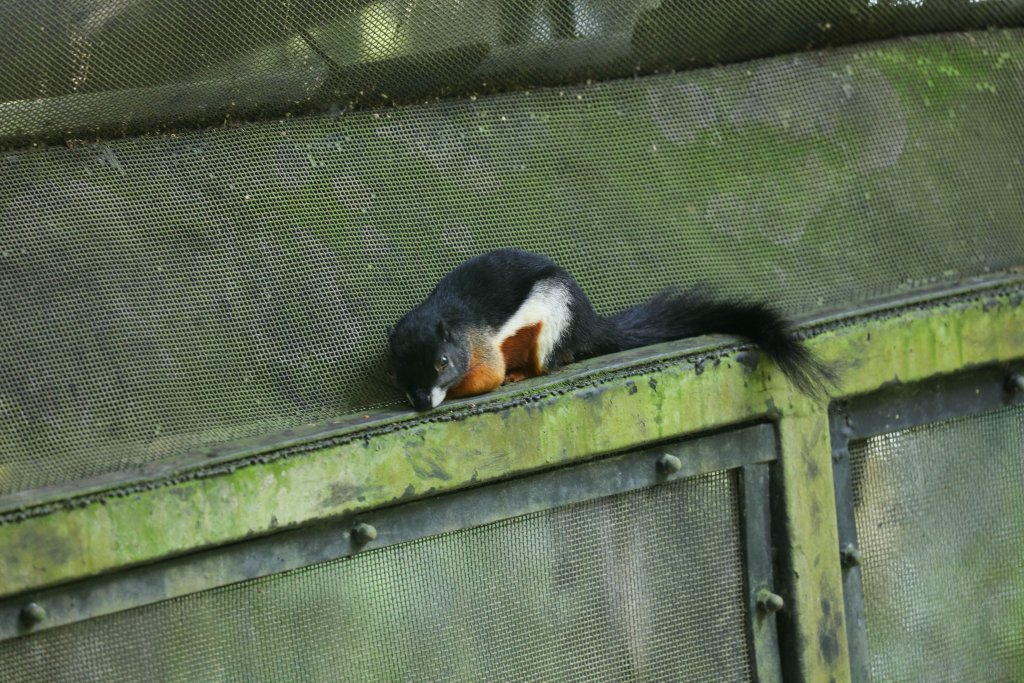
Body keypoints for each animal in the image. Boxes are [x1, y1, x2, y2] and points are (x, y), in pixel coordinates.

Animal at [387, 249, 834, 411]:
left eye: (442, 362)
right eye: (398, 374)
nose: (423, 404)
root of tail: (589, 325)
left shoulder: (481, 347)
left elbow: (486, 377)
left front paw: (469, 386)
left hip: (555, 323)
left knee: (551, 361)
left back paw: (524, 372)